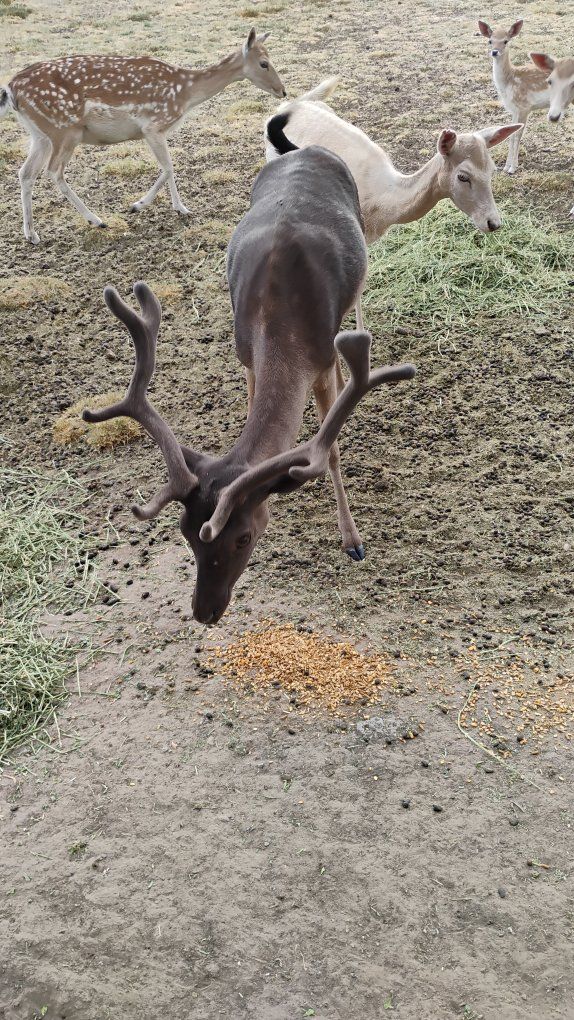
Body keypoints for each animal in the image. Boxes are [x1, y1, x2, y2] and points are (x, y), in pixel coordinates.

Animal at [0, 29, 285, 244]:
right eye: (264, 63)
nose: (283, 90)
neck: (186, 94)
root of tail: (11, 89)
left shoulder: (157, 130)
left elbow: (169, 167)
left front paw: (180, 208)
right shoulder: (152, 125)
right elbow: (168, 167)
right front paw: (139, 205)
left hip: (40, 134)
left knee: (26, 173)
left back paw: (31, 234)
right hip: (64, 129)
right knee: (53, 171)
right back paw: (97, 220)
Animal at [82, 142, 415, 625]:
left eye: (242, 537)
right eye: (185, 532)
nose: (204, 611)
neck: (280, 319)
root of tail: (308, 147)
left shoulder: (323, 360)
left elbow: (330, 448)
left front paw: (352, 540)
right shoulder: (247, 356)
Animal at [478, 19, 550, 174]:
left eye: (505, 41)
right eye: (490, 40)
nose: (494, 52)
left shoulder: (525, 107)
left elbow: (517, 135)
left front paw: (513, 168)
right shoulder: (514, 110)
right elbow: (510, 134)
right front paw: (506, 167)